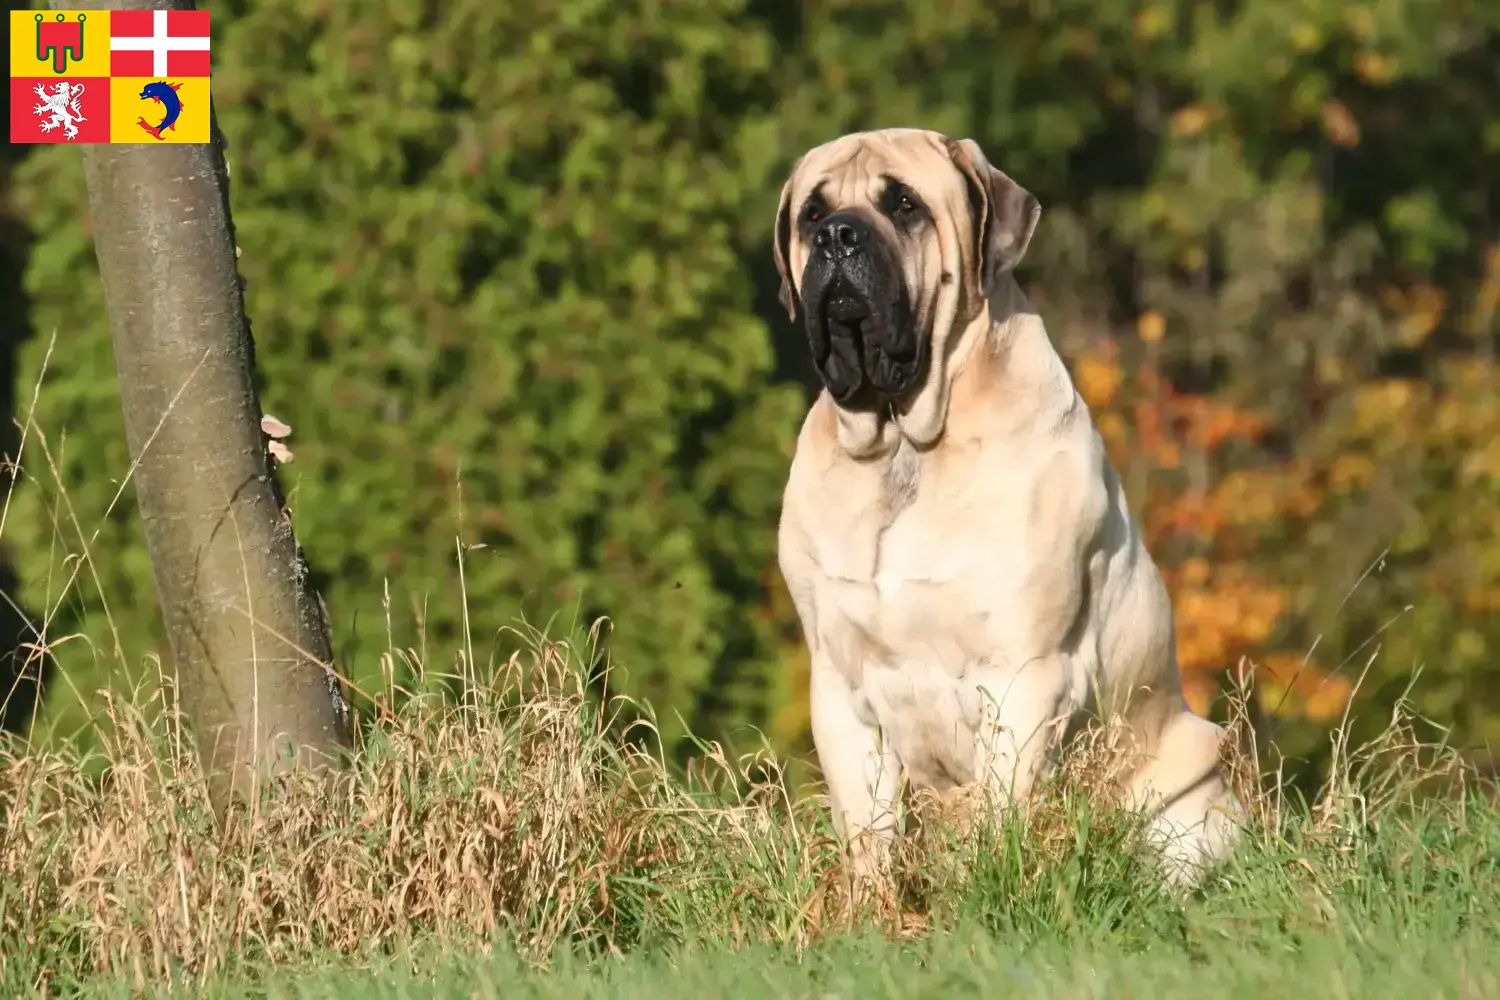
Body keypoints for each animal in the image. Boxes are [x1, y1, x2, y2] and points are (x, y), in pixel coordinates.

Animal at [774, 128, 1242, 887]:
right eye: (810, 214)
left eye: (904, 205)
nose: (838, 235)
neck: (905, 443)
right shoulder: (841, 687)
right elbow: (867, 831)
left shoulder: (1023, 674)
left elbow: (1002, 808)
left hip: (1189, 799)